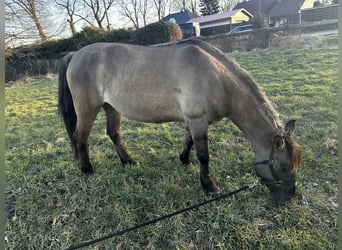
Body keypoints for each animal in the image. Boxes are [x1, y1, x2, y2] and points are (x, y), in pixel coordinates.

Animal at [58, 38, 302, 203]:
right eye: (283, 166)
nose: (288, 197)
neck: (217, 78)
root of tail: (75, 54)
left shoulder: (192, 121)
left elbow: (189, 141)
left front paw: (184, 160)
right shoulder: (197, 120)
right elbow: (204, 155)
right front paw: (209, 185)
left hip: (111, 107)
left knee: (114, 133)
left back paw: (128, 161)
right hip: (87, 110)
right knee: (80, 137)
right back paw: (87, 169)